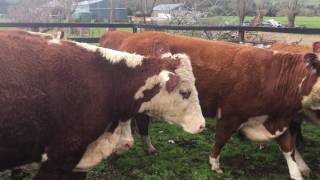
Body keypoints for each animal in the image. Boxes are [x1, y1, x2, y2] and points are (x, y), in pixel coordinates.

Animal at [99, 30, 320, 179]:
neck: (273, 75)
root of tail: (132, 37)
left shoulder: (279, 120)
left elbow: (289, 149)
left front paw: (297, 173)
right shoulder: (231, 115)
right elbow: (220, 139)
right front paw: (214, 164)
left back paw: (147, 147)